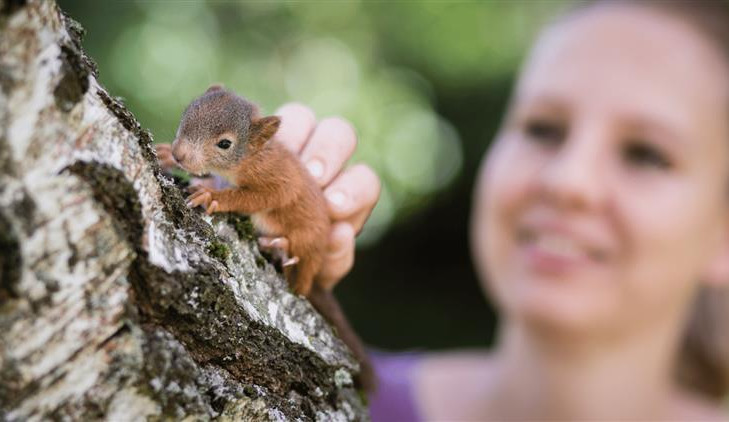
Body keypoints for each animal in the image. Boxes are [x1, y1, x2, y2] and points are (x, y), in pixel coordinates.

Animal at [160, 85, 376, 392]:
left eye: (224, 144)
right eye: (187, 113)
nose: (179, 154)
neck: (250, 157)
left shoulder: (276, 178)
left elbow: (262, 196)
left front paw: (213, 195)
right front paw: (167, 155)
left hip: (306, 241)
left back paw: (282, 249)